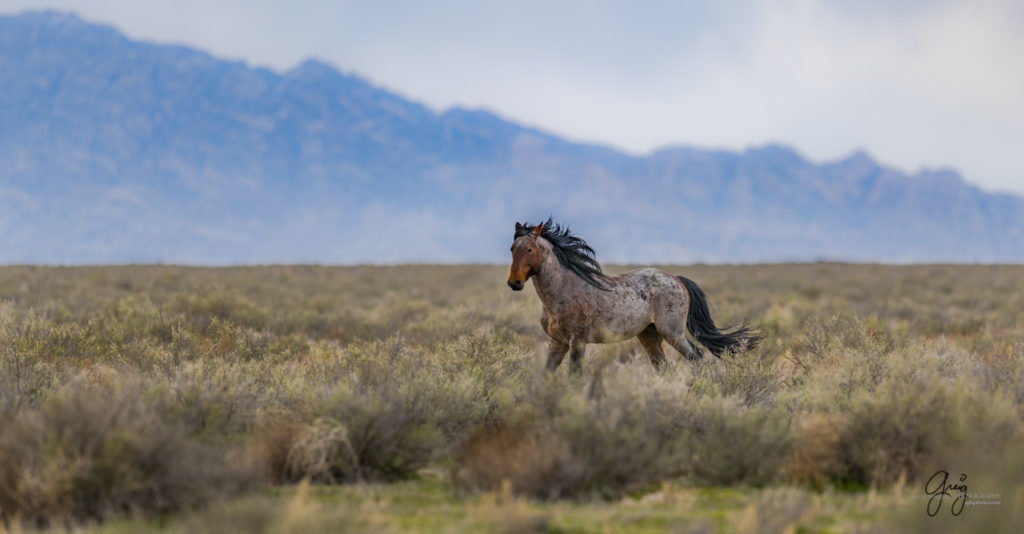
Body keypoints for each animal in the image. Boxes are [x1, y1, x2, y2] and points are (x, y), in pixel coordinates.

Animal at [505, 216, 761, 371]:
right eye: (512, 249)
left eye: (530, 249)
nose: (514, 283)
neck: (563, 291)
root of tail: (677, 279)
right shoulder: (557, 342)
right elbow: (546, 376)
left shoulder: (577, 342)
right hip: (649, 336)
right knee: (663, 367)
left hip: (672, 332)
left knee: (696, 356)